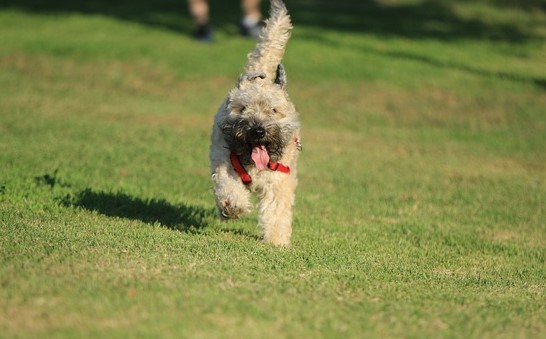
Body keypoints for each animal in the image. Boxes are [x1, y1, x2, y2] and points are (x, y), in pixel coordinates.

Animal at [209, 0, 302, 248]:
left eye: (273, 110)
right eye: (243, 108)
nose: (258, 130)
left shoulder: (279, 181)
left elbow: (277, 210)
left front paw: (277, 241)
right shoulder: (224, 162)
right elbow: (228, 186)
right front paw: (232, 206)